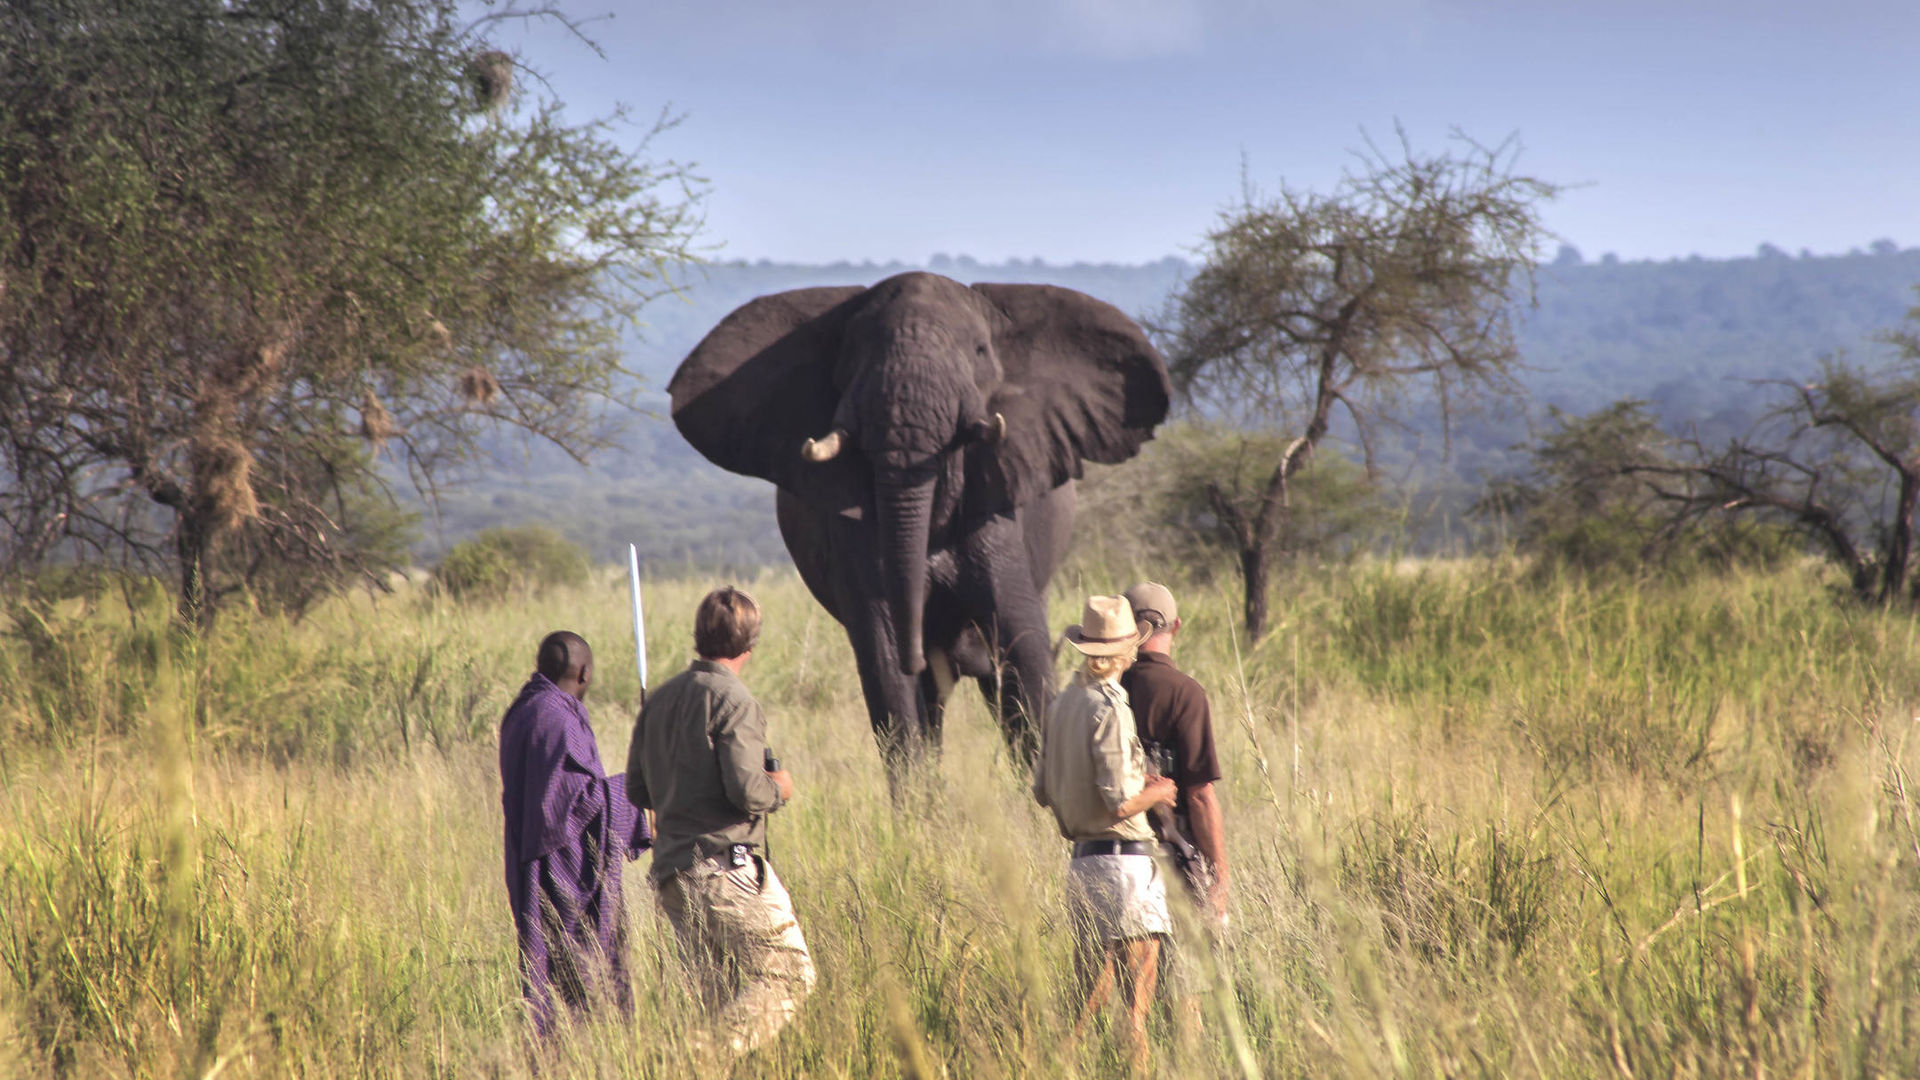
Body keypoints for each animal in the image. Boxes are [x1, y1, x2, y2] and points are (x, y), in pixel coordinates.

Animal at [668, 272, 1167, 768]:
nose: (919, 657)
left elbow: (1021, 648)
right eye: (850, 357)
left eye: (980, 351)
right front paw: (918, 792)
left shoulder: (998, 513)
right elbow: (887, 666)